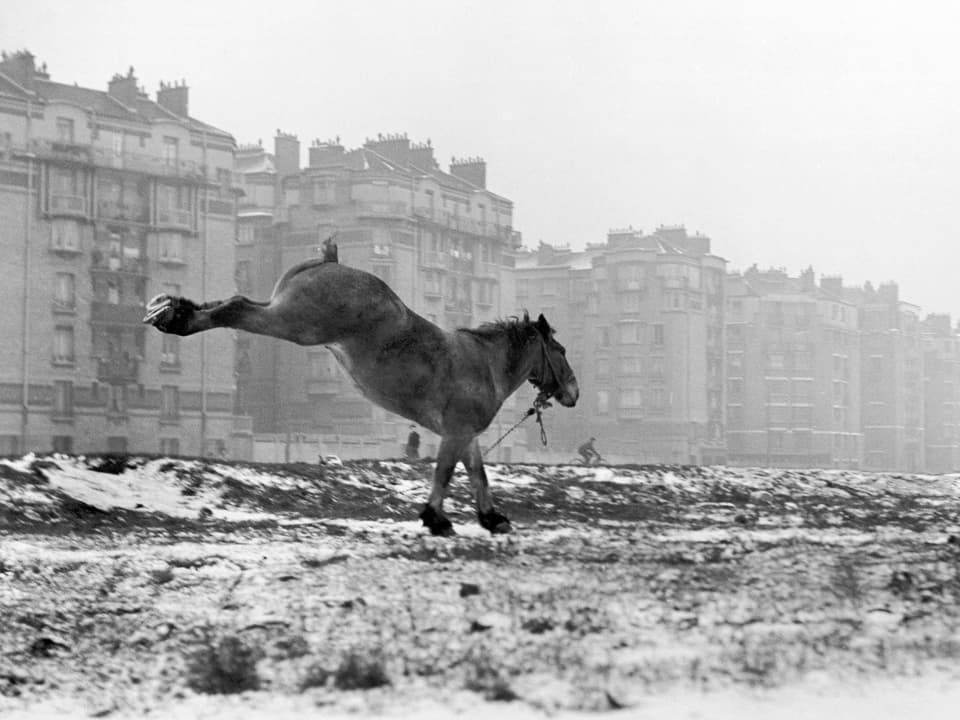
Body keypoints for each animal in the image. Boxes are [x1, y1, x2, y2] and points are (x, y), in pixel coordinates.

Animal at [142, 243, 576, 536]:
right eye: (560, 350)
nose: (573, 392)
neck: (482, 363)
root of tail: (329, 262)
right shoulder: (455, 432)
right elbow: (446, 473)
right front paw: (436, 519)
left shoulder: (464, 433)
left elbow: (476, 473)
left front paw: (491, 517)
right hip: (292, 323)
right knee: (234, 307)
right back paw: (175, 318)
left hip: (281, 313)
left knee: (231, 303)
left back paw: (172, 309)